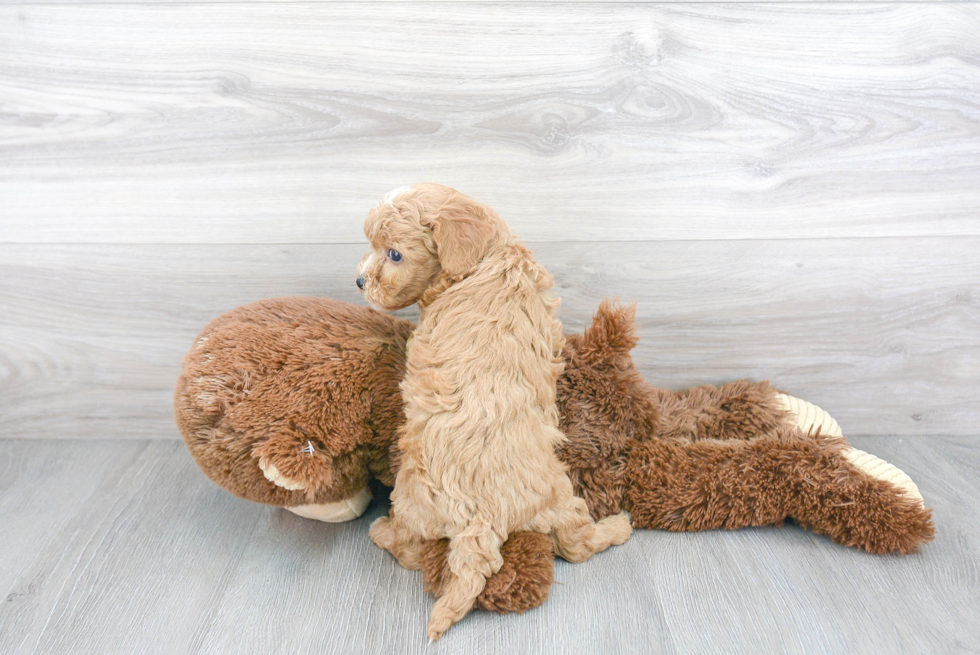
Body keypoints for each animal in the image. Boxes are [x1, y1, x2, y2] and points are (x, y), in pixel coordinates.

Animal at [356, 186, 632, 640]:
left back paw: (382, 531)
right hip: (559, 498)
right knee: (577, 545)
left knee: (411, 549)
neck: (488, 258)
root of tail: (482, 521)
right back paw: (617, 527)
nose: (360, 281)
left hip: (411, 497)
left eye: (393, 254)